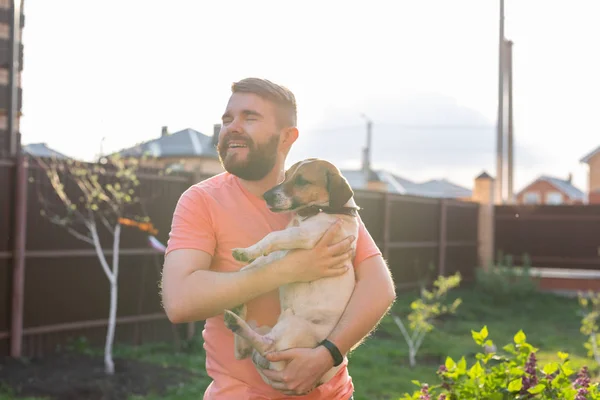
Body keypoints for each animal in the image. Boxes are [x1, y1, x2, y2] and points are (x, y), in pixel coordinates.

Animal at [223, 158, 358, 390]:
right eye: (285, 175)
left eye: (302, 181)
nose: (267, 195)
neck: (317, 211)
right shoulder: (285, 247)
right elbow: (259, 261)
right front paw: (246, 264)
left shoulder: (304, 236)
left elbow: (272, 237)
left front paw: (246, 252)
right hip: (271, 326)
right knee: (243, 351)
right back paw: (238, 315)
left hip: (294, 325)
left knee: (266, 347)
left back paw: (237, 321)